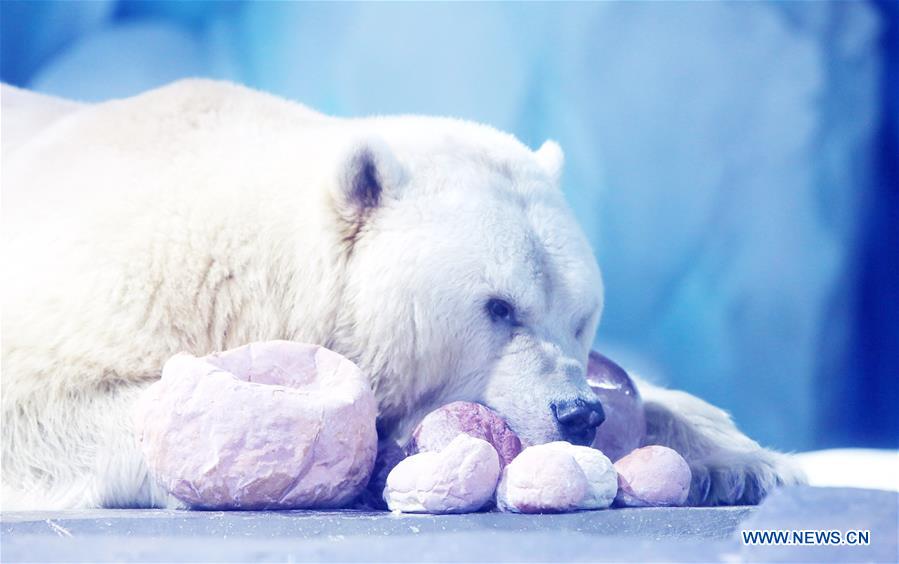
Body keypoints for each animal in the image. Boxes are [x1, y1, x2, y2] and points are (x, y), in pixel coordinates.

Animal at [0, 80, 803, 509]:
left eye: (581, 317)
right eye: (498, 306)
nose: (577, 413)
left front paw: (745, 462)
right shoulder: (111, 286)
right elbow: (40, 408)